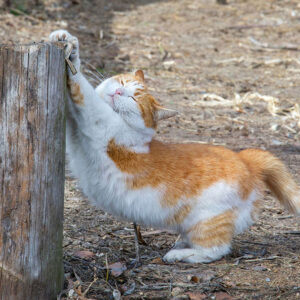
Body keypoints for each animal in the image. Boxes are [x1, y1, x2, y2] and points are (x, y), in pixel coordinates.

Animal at [49, 29, 300, 262]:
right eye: (121, 83)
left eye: (133, 99)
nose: (119, 92)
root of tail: (246, 158)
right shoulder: (76, 134)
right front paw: (64, 41)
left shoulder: (98, 122)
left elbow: (83, 89)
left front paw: (73, 58)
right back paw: (180, 244)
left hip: (206, 219)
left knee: (216, 250)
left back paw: (180, 254)